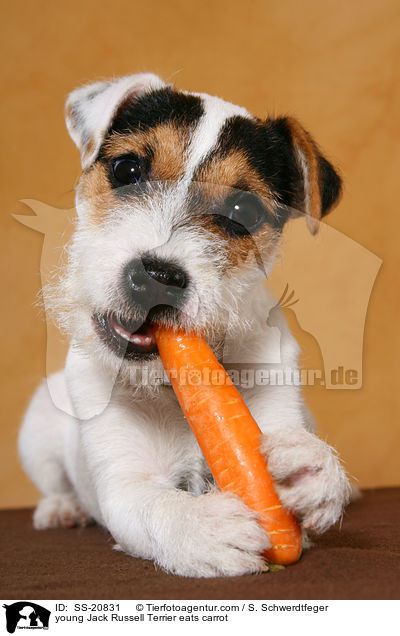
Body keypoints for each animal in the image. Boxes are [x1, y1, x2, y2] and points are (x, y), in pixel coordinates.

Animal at [18, 73, 350, 576]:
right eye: (127, 169)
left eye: (245, 212)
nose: (155, 278)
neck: (169, 388)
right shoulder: (125, 482)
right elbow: (153, 506)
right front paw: (206, 528)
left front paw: (315, 470)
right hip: (38, 431)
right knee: (55, 481)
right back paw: (61, 509)